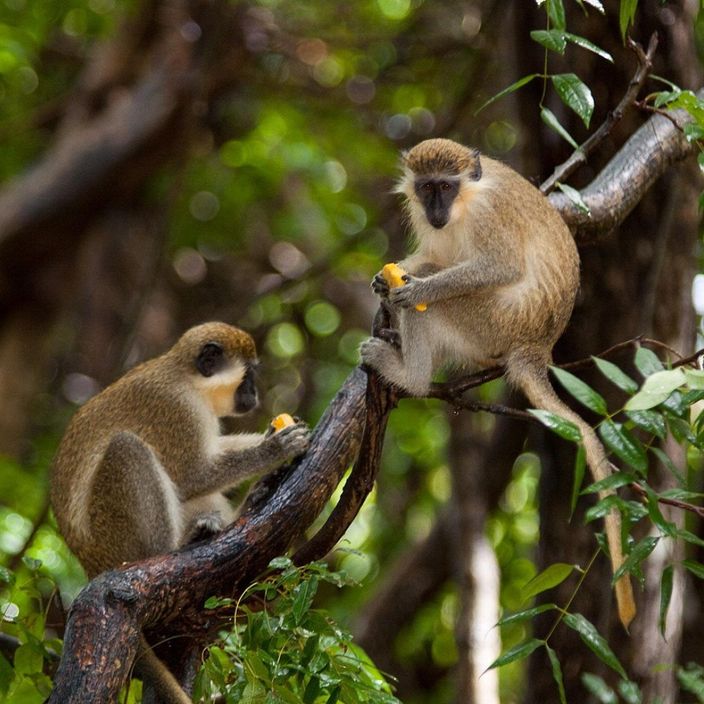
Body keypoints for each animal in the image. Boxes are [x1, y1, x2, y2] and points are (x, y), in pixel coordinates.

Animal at [51, 321, 311, 704]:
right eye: (248, 374)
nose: (254, 393)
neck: (189, 379)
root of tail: (91, 562)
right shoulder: (177, 409)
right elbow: (192, 475)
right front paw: (274, 449)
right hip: (114, 536)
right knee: (127, 449)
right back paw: (174, 546)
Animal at [361, 138, 636, 628]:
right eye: (426, 187)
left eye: (445, 187)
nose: (435, 210)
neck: (465, 203)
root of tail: (537, 348)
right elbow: (437, 256)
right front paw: (384, 278)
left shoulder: (489, 216)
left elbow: (496, 267)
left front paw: (412, 289)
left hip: (491, 323)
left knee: (443, 297)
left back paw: (410, 374)